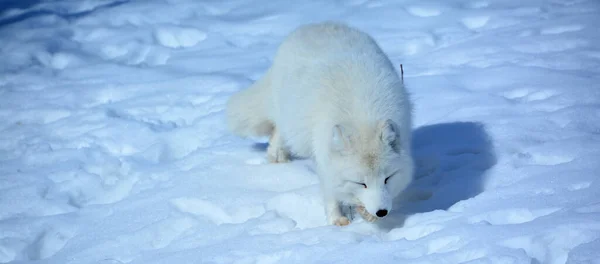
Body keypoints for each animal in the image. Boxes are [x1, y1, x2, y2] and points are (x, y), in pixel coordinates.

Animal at [225, 21, 412, 226]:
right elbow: (330, 191)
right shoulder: (324, 155)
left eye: (387, 179)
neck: (363, 117)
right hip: (290, 115)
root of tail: (315, 25)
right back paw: (278, 157)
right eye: (361, 183)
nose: (382, 212)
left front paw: (366, 213)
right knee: (279, 131)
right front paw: (337, 220)